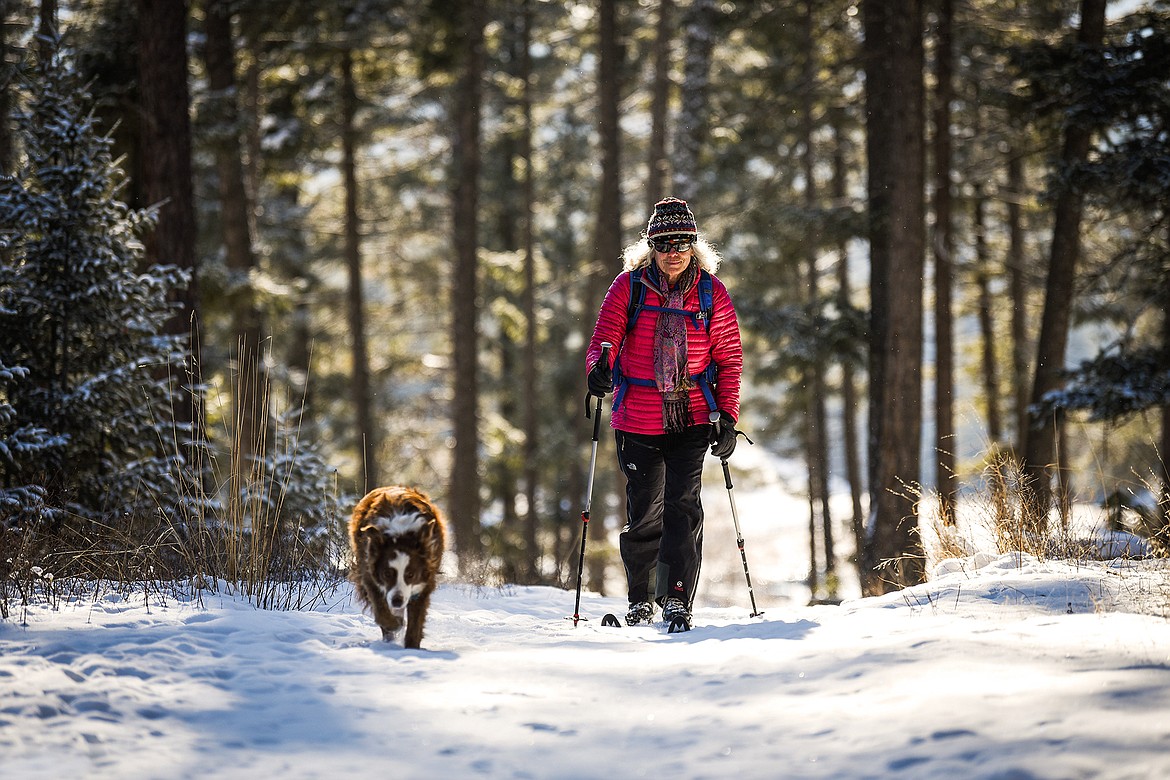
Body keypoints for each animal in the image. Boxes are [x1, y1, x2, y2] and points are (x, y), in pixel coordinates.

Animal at [346, 488, 446, 645]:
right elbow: (381, 609)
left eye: (410, 574)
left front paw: (412, 646)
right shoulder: (369, 573)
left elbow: (416, 621)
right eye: (387, 574)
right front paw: (393, 625)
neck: (400, 535)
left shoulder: (424, 583)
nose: (397, 601)